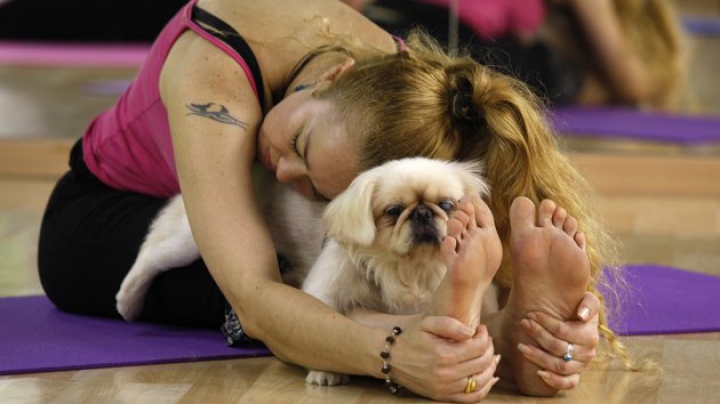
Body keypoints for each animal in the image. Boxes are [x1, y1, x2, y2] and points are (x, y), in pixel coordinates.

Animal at [116, 157, 496, 386]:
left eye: (446, 205)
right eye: (393, 211)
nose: (423, 213)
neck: (406, 267)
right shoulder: (326, 291)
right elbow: (327, 332)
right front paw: (325, 374)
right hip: (189, 241)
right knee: (150, 254)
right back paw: (127, 302)